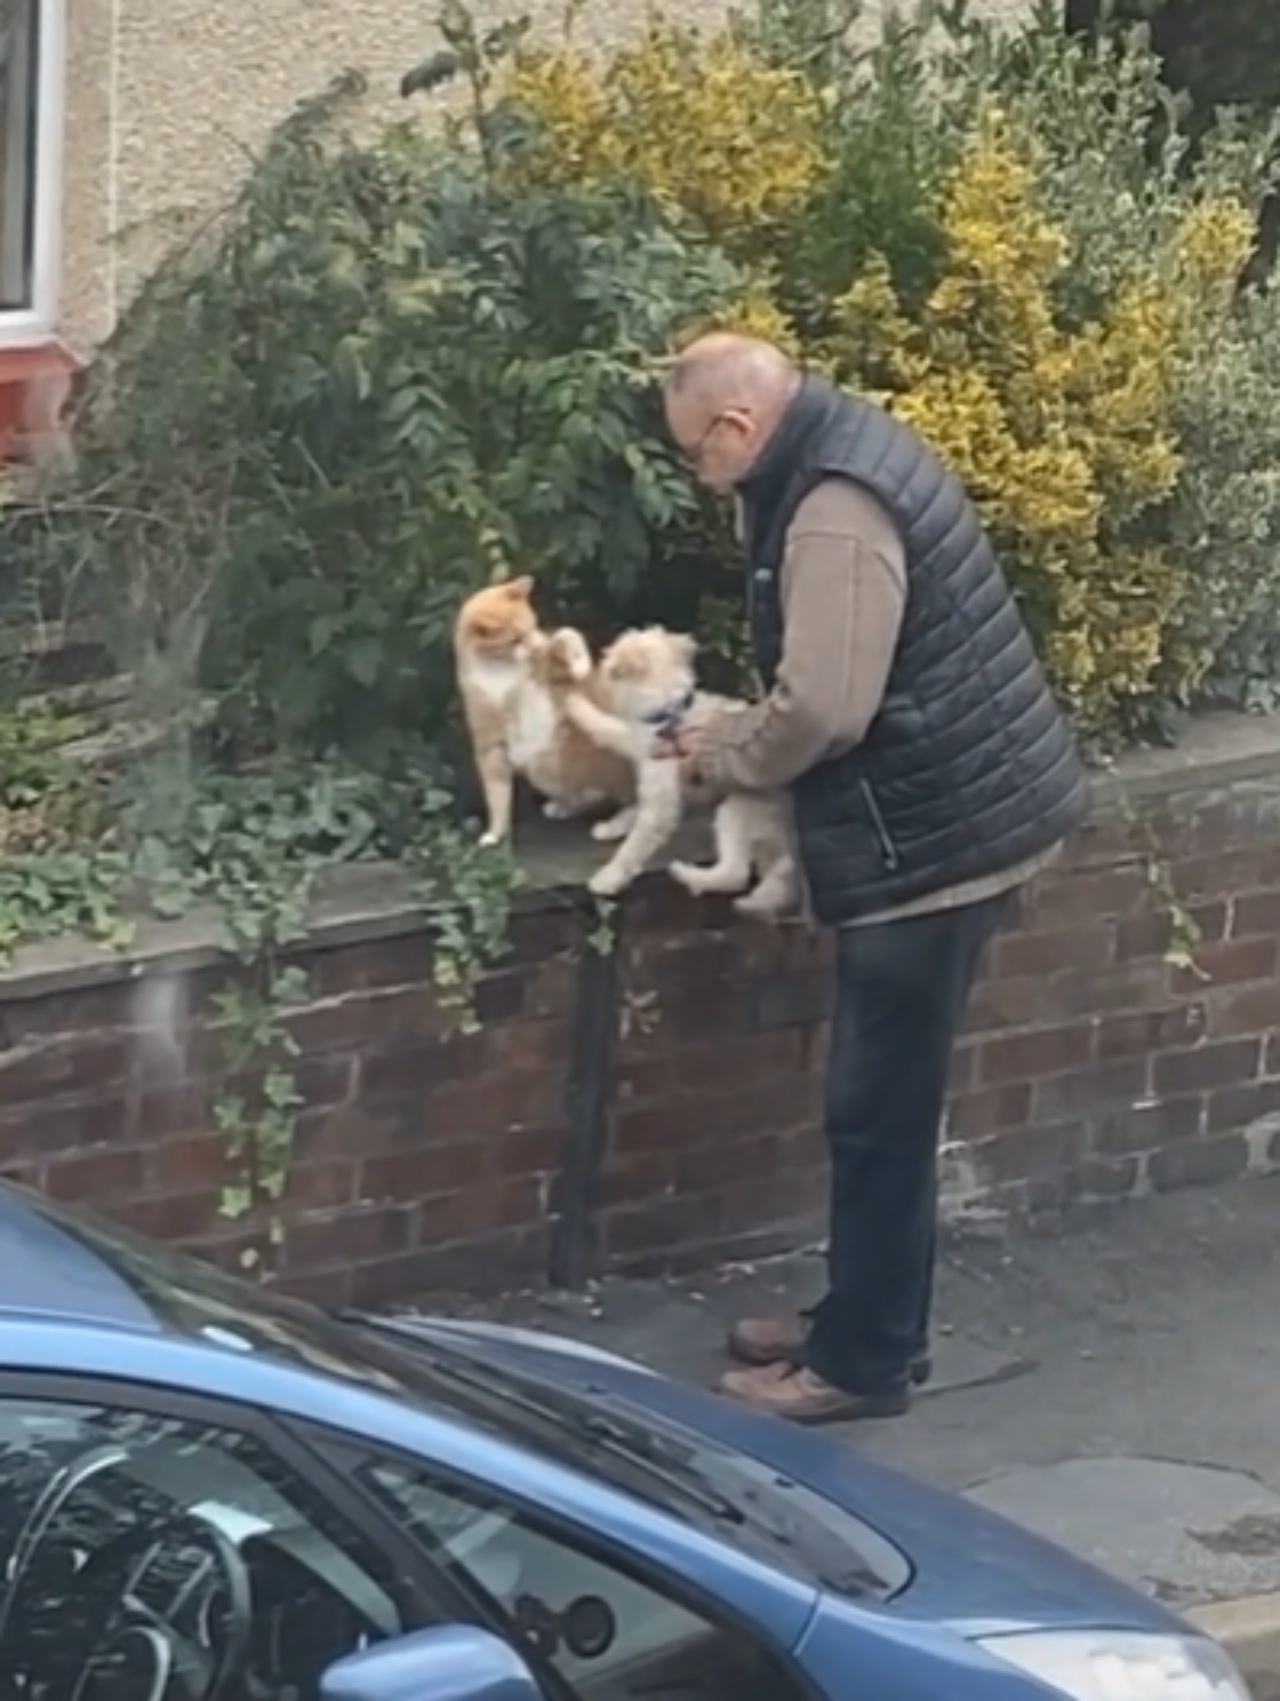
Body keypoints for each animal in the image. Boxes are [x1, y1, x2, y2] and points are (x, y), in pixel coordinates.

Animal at [452, 578, 633, 843]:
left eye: (534, 625)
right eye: (515, 638)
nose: (536, 646)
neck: (499, 670)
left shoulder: (558, 677)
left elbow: (566, 634)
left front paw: (579, 662)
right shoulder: (491, 748)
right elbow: (497, 798)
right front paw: (495, 834)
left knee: (636, 802)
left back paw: (615, 826)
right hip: (540, 765)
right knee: (586, 792)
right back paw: (564, 807)